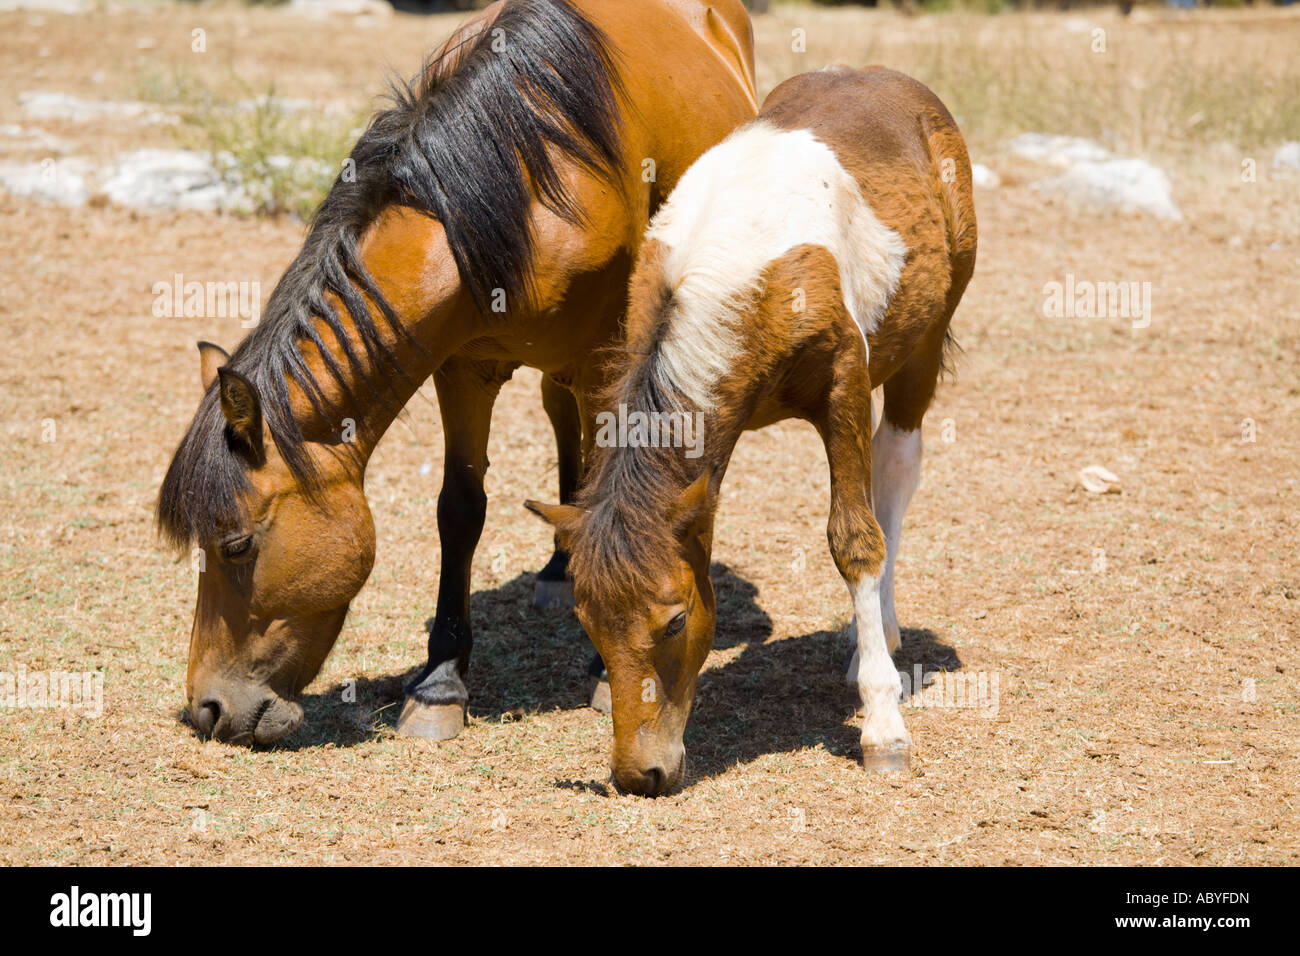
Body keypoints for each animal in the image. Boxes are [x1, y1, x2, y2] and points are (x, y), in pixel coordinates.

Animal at [156, 0, 759, 749]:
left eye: (236, 544)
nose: (207, 709)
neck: (517, 184)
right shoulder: (461, 363)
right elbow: (460, 510)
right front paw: (441, 682)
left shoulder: (604, 358)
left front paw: (600, 666)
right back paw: (559, 569)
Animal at [527, 67, 977, 796]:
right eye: (588, 624)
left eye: (676, 619)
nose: (640, 774)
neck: (737, 268)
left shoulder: (845, 382)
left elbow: (856, 539)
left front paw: (883, 728)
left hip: (925, 340)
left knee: (897, 468)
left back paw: (881, 634)